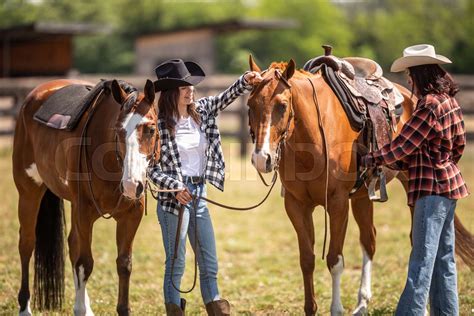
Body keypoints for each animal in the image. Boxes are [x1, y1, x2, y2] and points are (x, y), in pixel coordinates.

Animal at [11, 78, 158, 314]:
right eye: (118, 131)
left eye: (151, 129)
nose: (130, 186)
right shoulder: (84, 213)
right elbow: (85, 263)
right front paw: (79, 308)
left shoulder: (130, 216)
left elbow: (124, 264)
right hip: (28, 192)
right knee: (27, 243)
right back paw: (25, 308)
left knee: (72, 243)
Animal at [246, 58, 472, 314]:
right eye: (250, 105)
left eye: (282, 105)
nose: (261, 159)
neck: (313, 136)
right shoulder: (296, 206)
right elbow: (307, 260)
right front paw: (311, 308)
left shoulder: (337, 203)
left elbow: (335, 259)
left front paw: (336, 309)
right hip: (363, 197)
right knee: (369, 240)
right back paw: (362, 303)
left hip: (411, 187)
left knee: (418, 243)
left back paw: (421, 307)